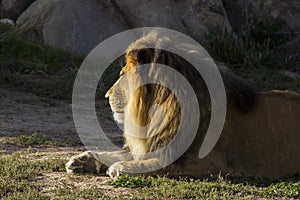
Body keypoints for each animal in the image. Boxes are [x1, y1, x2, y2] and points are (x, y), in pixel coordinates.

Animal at [66, 31, 300, 178]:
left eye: (123, 75)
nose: (106, 96)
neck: (159, 110)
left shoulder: (211, 163)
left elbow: (162, 163)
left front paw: (121, 167)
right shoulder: (158, 141)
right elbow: (123, 152)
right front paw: (83, 159)